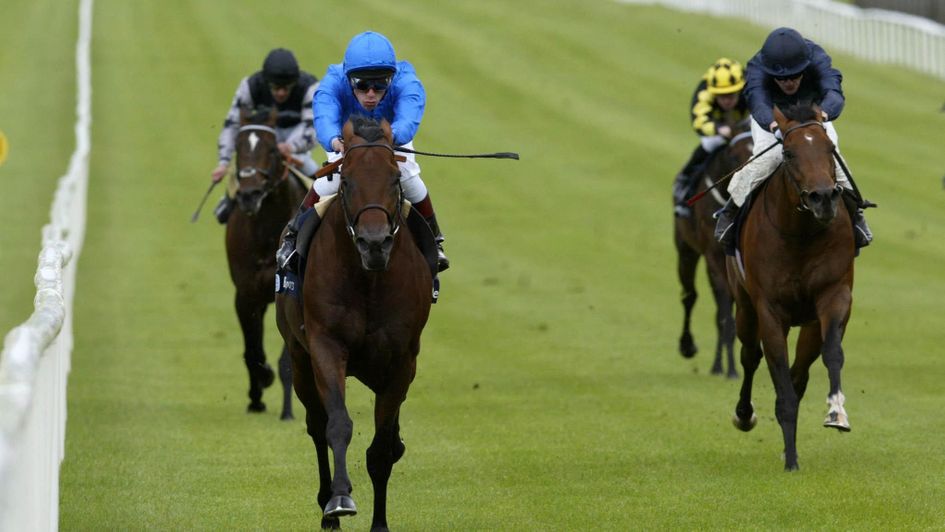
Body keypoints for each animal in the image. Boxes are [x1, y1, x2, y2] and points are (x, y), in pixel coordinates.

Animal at [274, 115, 434, 528]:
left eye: (394, 179)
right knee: (316, 424)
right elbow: (337, 425)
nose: (374, 243)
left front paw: (380, 523)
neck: (368, 280)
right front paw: (339, 499)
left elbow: (381, 449)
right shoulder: (325, 346)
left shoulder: (402, 361)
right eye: (346, 180)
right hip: (299, 357)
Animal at [676, 119, 748, 378]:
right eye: (734, 155)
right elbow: (723, 315)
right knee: (689, 296)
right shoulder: (713, 257)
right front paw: (725, 368)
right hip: (685, 250)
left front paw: (731, 368)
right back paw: (687, 346)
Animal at [724, 104, 856, 470]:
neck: (800, 234)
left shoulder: (834, 295)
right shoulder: (770, 310)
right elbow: (776, 368)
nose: (823, 198)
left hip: (808, 321)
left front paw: (836, 412)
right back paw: (744, 414)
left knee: (800, 372)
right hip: (745, 306)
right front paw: (791, 461)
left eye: (830, 149)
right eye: (788, 152)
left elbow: (831, 353)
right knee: (750, 355)